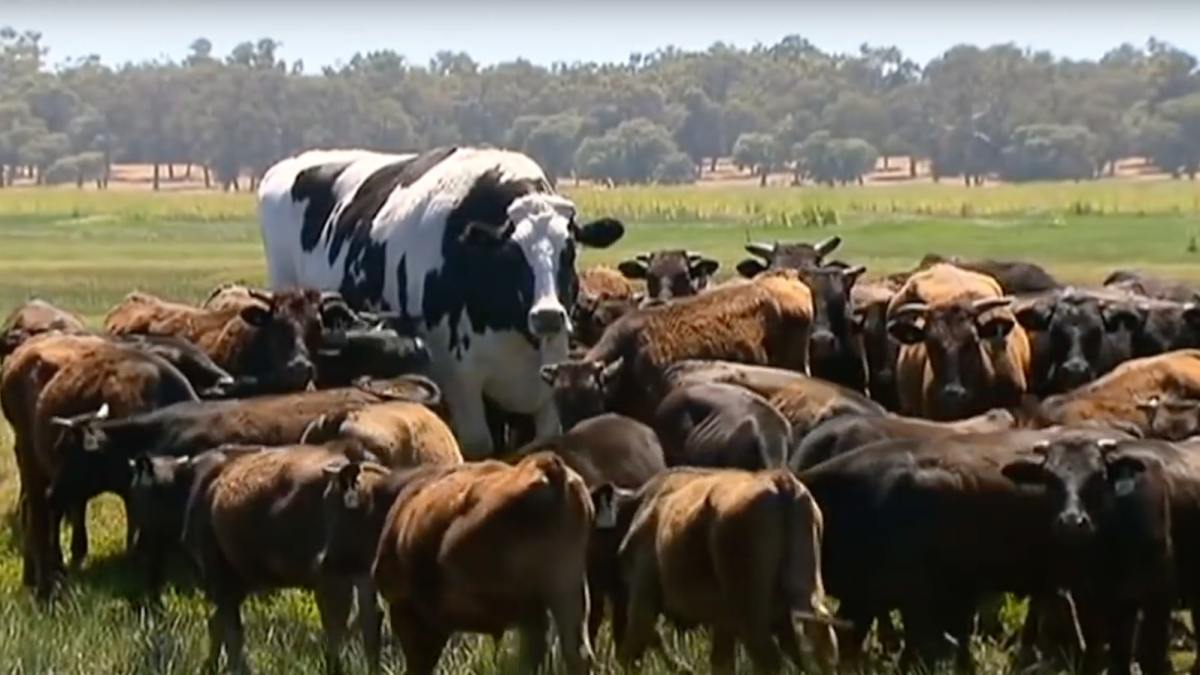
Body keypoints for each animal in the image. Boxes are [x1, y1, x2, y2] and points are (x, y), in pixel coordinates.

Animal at [258, 147, 626, 459]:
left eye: (570, 250)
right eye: (511, 253)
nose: (547, 315)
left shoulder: (548, 377)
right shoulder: (459, 378)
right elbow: (479, 446)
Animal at [320, 453, 598, 675]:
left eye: (337, 507)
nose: (326, 559)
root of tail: (548, 468)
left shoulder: (409, 612)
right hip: (565, 593)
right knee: (573, 654)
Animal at [604, 468, 838, 674]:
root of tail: (781, 482)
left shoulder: (642, 596)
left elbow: (634, 646)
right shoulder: (724, 620)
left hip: (750, 612)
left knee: (768, 657)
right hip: (804, 594)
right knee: (821, 643)